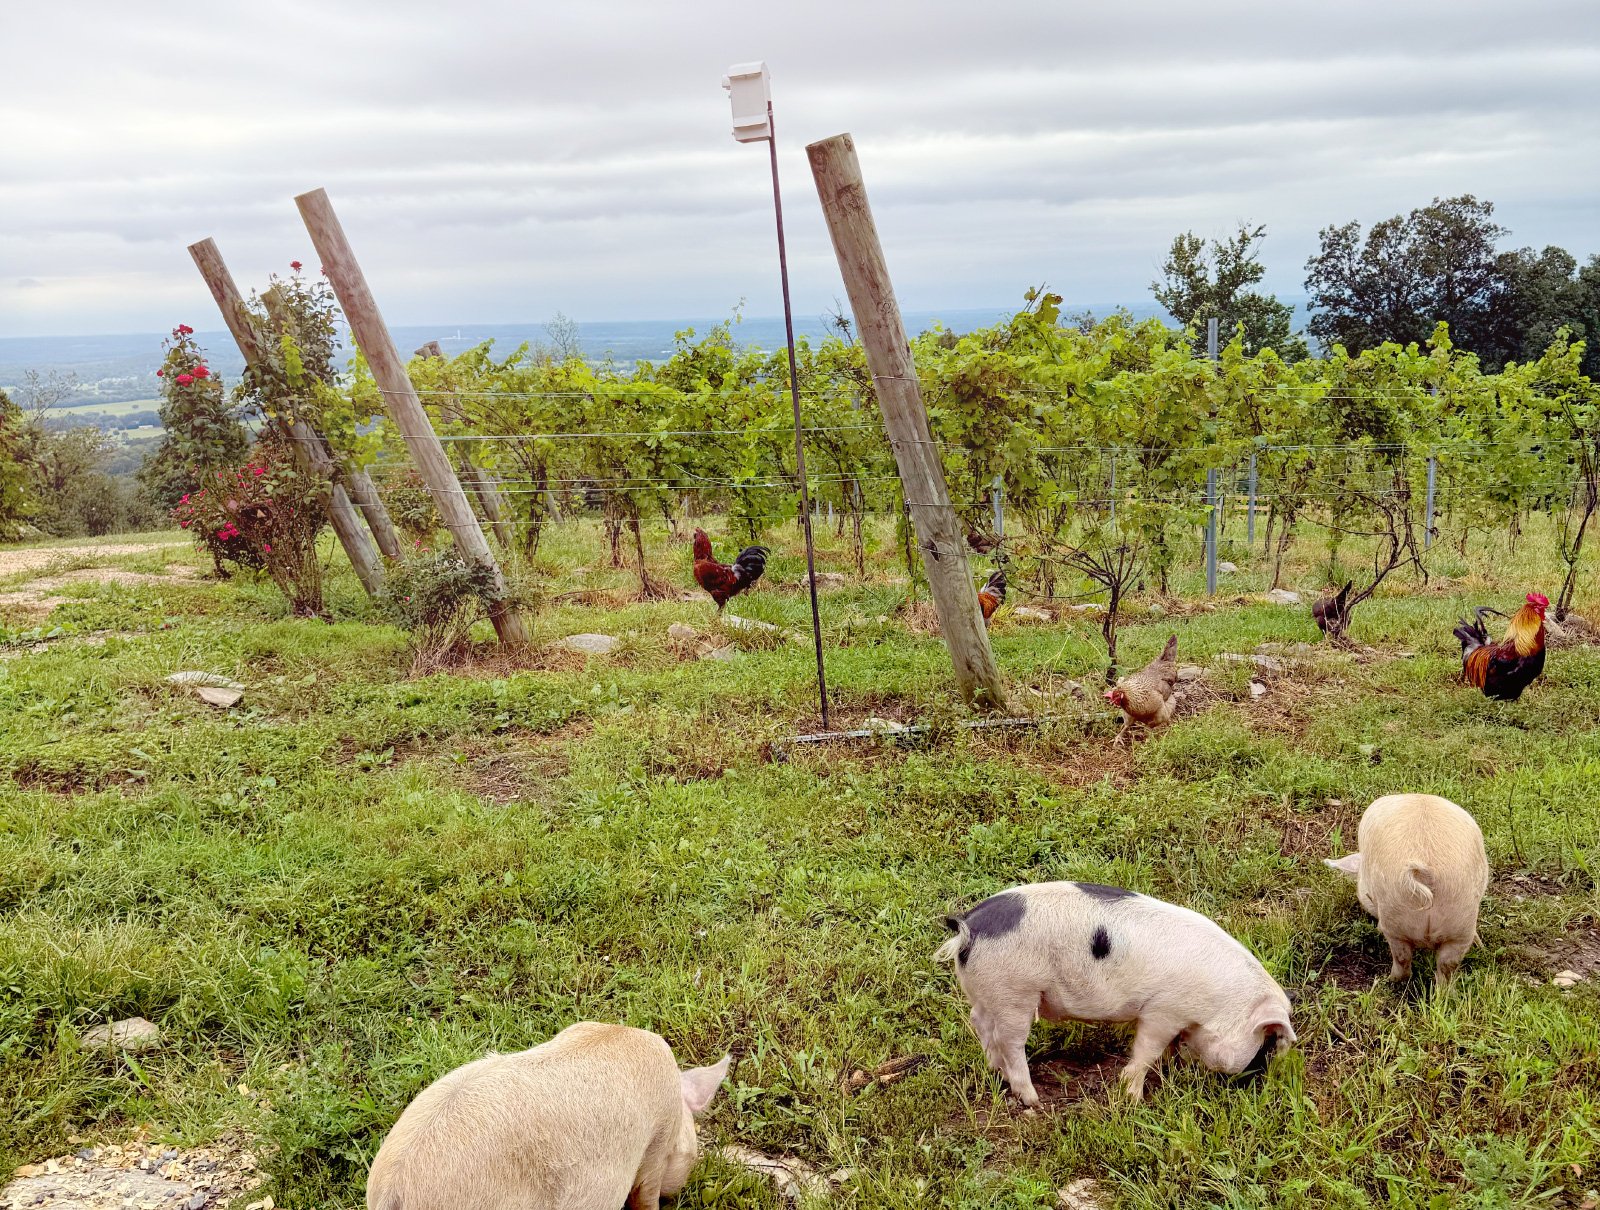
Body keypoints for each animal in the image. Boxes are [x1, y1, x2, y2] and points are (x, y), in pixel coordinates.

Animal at [936, 880, 1295, 1105]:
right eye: (1264, 1042)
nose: (1250, 1081)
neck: (1221, 1002)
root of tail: (969, 928)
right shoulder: (1164, 1010)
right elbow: (1147, 1049)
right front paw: (1133, 1098)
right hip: (1014, 991)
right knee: (1011, 1042)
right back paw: (1032, 1100)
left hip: (987, 993)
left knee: (980, 1022)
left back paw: (995, 1071)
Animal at [1323, 793, 1489, 988]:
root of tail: (1426, 871)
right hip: (1460, 923)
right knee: (1446, 969)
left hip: (1395, 918)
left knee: (1402, 961)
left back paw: (1386, 980)